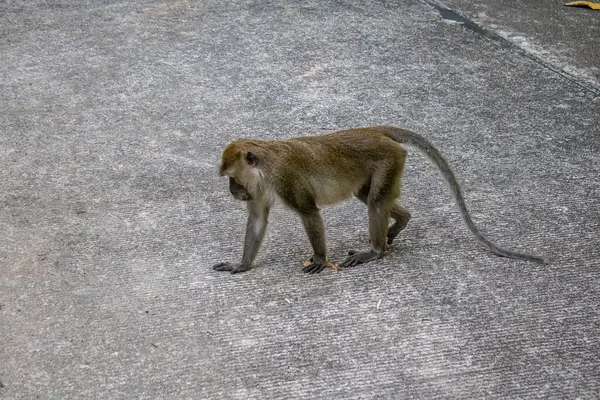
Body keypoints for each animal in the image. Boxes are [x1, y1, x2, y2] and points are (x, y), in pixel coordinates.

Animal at [213, 126, 548, 274]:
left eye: (233, 178)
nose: (232, 191)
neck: (266, 166)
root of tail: (373, 130)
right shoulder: (260, 188)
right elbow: (258, 219)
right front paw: (242, 264)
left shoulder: (285, 179)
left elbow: (309, 214)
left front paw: (319, 260)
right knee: (368, 196)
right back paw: (401, 222)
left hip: (389, 158)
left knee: (374, 202)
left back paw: (375, 251)